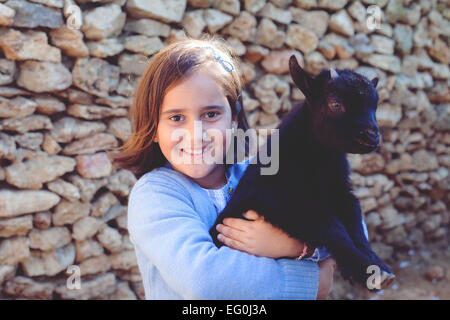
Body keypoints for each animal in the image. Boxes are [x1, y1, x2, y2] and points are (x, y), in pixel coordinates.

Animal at [209, 56, 396, 292]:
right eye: (335, 104)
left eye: (375, 106)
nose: (372, 136)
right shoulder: (290, 204)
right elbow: (334, 229)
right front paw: (369, 270)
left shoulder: (341, 193)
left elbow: (356, 225)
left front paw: (378, 267)